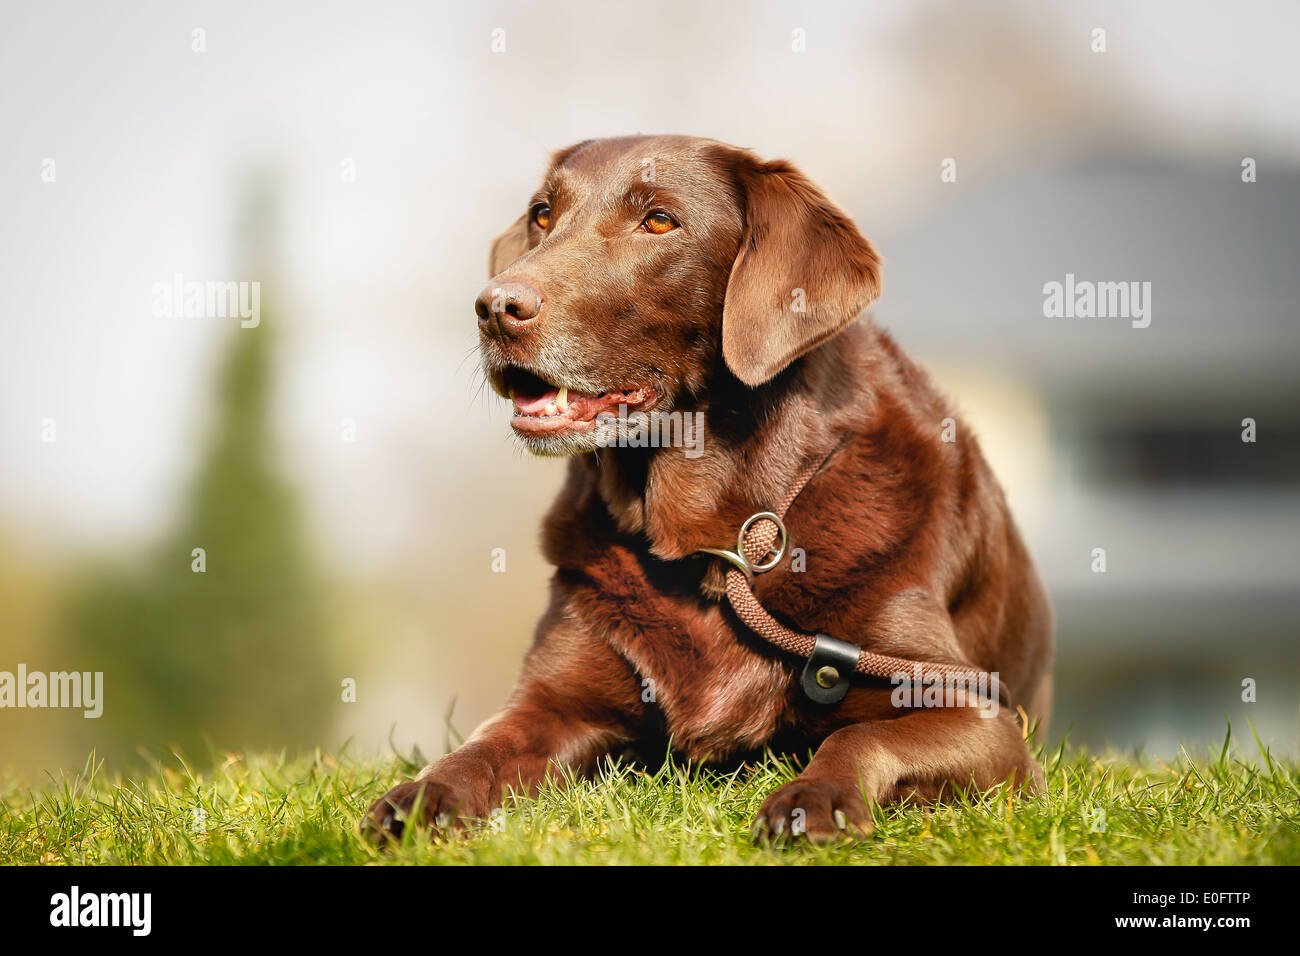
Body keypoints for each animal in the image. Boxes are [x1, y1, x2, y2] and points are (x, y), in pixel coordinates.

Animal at [361, 136, 1050, 842]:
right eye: (543, 215)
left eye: (659, 221)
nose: (495, 307)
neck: (713, 541)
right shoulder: (551, 702)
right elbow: (480, 748)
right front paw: (422, 797)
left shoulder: (971, 708)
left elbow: (859, 739)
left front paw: (813, 798)